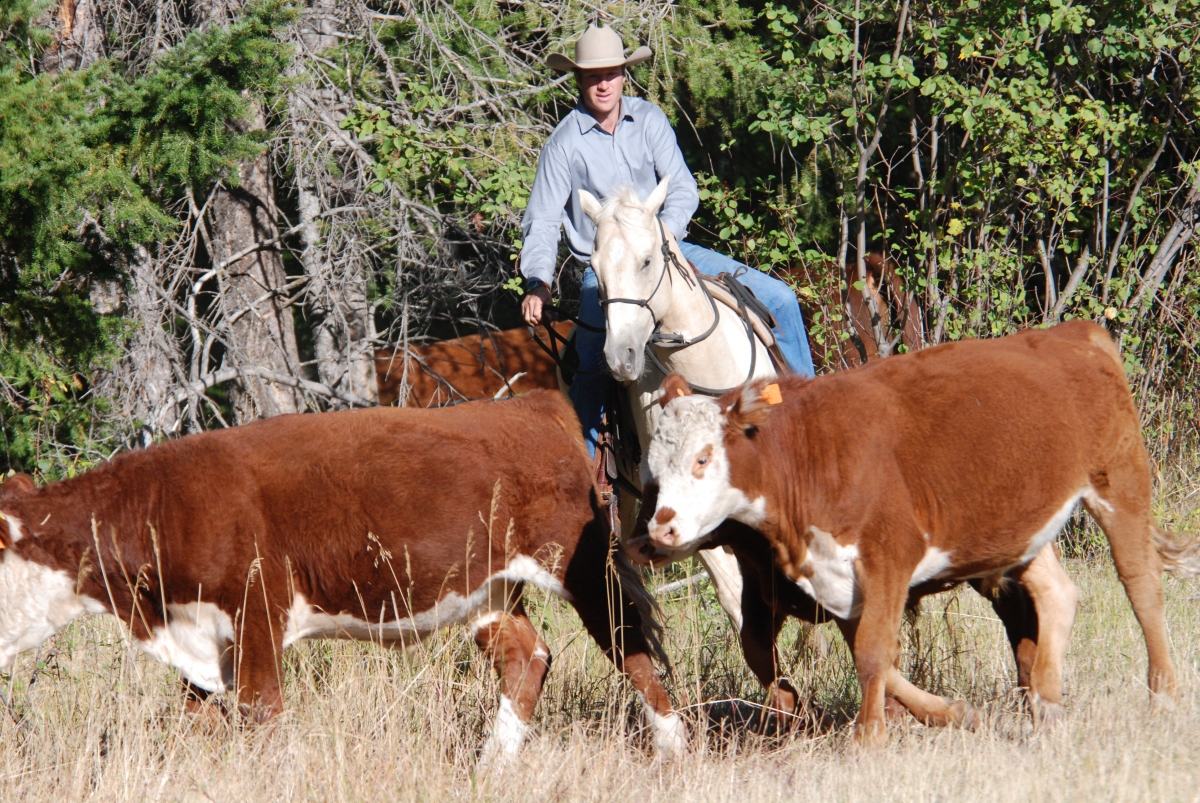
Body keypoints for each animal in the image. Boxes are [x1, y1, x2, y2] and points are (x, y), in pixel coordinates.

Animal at [0, 390, 684, 767]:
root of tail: (533, 404)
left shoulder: (256, 613)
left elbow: (263, 716)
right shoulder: (203, 637)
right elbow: (193, 723)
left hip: (579, 564)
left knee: (631, 648)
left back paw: (673, 753)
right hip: (487, 590)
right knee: (527, 657)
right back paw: (491, 767)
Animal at [634, 321, 1200, 745]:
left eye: (703, 457)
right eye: (653, 468)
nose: (660, 529)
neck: (810, 451)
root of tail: (1076, 332)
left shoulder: (888, 556)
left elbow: (872, 652)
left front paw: (869, 738)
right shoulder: (836, 578)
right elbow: (874, 653)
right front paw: (952, 713)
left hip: (1119, 482)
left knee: (1141, 585)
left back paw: (1163, 694)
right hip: (1019, 525)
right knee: (1057, 593)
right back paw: (1047, 700)